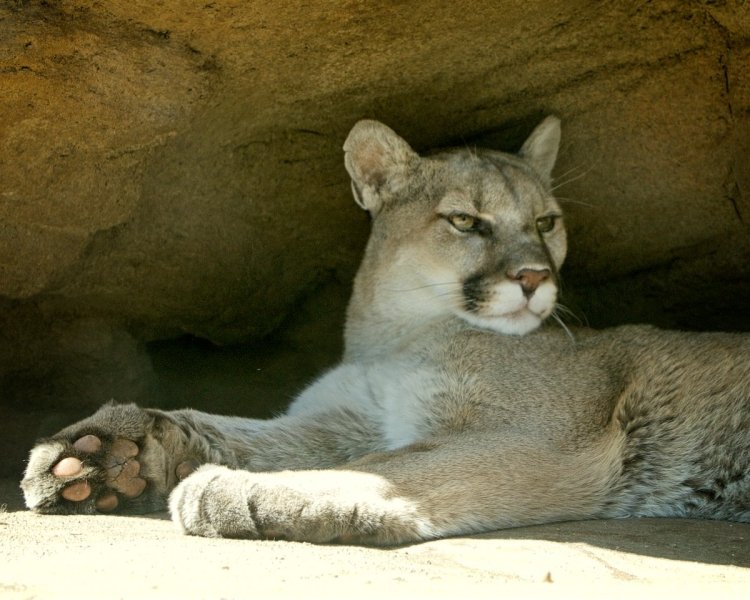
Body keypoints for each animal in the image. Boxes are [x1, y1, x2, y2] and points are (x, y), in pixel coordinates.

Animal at [20, 116, 748, 544]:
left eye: (546, 222)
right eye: (466, 221)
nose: (535, 276)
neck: (397, 336)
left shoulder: (550, 437)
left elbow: (384, 468)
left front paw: (232, 490)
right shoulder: (356, 415)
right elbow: (254, 433)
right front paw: (112, 451)